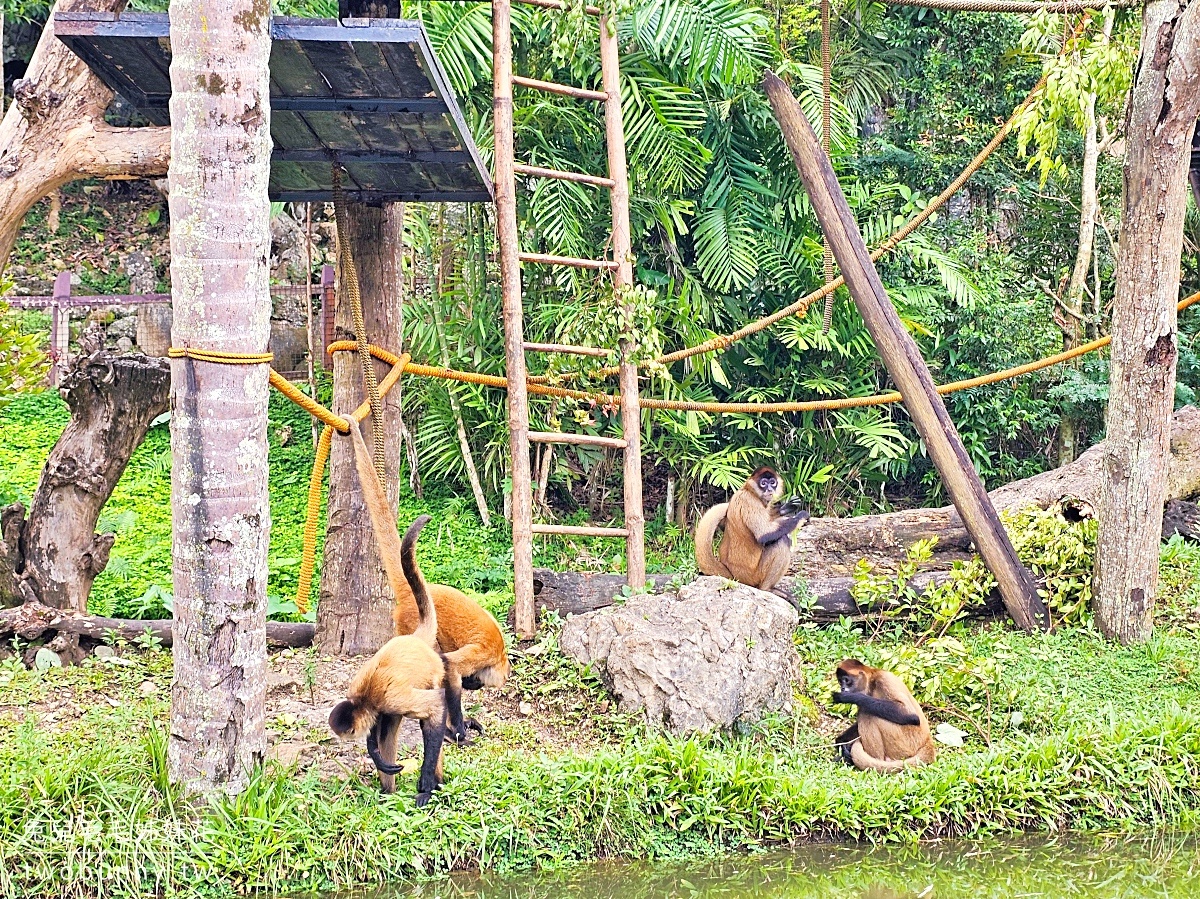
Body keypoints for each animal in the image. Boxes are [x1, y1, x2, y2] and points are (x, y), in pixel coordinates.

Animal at [328, 511, 458, 806]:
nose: (346, 740)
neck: (364, 697)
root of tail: (416, 637)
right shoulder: (371, 700)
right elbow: (378, 733)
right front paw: (376, 756)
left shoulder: (390, 698)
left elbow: (435, 706)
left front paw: (426, 785)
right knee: (389, 729)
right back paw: (387, 793)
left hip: (432, 672)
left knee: (429, 716)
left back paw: (432, 785)